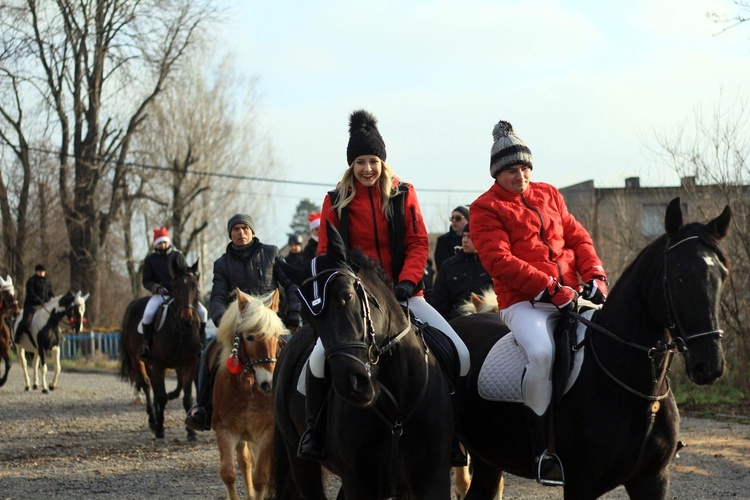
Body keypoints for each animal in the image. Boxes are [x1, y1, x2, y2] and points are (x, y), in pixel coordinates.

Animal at [120, 260, 203, 440]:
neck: (179, 329)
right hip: (137, 359)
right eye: (175, 286)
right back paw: (153, 420)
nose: (187, 318)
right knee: (146, 384)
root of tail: (134, 303)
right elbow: (162, 396)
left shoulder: (189, 364)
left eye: (194, 285)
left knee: (153, 385)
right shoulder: (159, 364)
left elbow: (187, 397)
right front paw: (159, 429)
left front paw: (191, 432)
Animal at [210, 290, 290, 500]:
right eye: (250, 337)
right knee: (245, 462)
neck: (248, 388)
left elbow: (261, 477)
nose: (269, 383)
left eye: (276, 336)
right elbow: (229, 473)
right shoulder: (225, 431)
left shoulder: (267, 434)